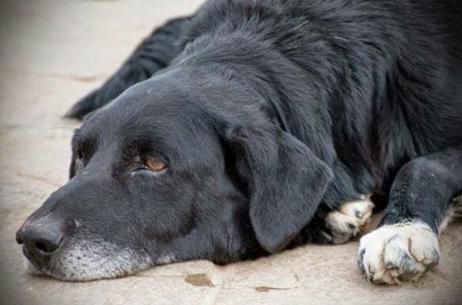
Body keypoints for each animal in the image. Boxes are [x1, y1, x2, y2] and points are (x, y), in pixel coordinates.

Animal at [16, 0, 460, 282]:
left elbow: (421, 165)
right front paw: (331, 214)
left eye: (154, 163)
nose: (31, 240)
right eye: (81, 156)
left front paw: (400, 231)